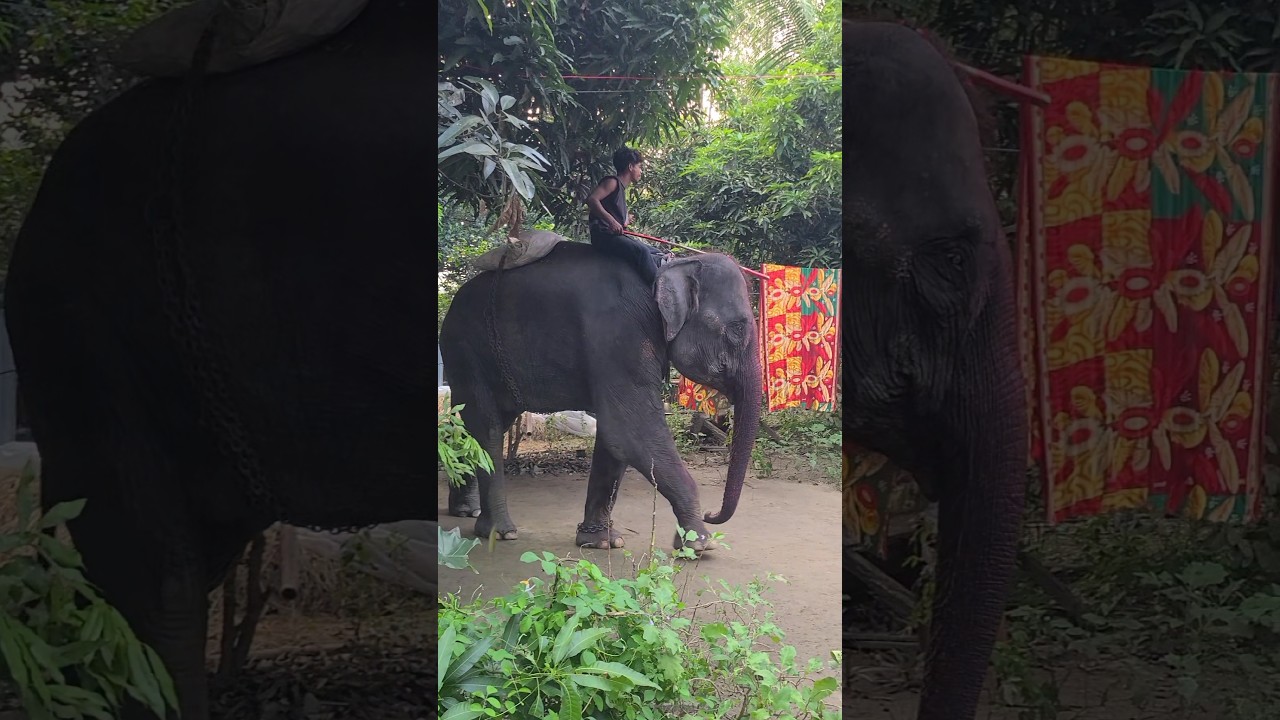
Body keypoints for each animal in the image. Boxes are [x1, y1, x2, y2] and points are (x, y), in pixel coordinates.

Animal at [438, 242, 762, 552]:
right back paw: (501, 532)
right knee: (487, 428)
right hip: (465, 348)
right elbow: (629, 429)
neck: (669, 265)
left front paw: (603, 542)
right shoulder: (619, 335)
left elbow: (614, 437)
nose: (712, 514)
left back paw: (466, 510)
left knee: (472, 426)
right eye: (737, 330)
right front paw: (700, 544)